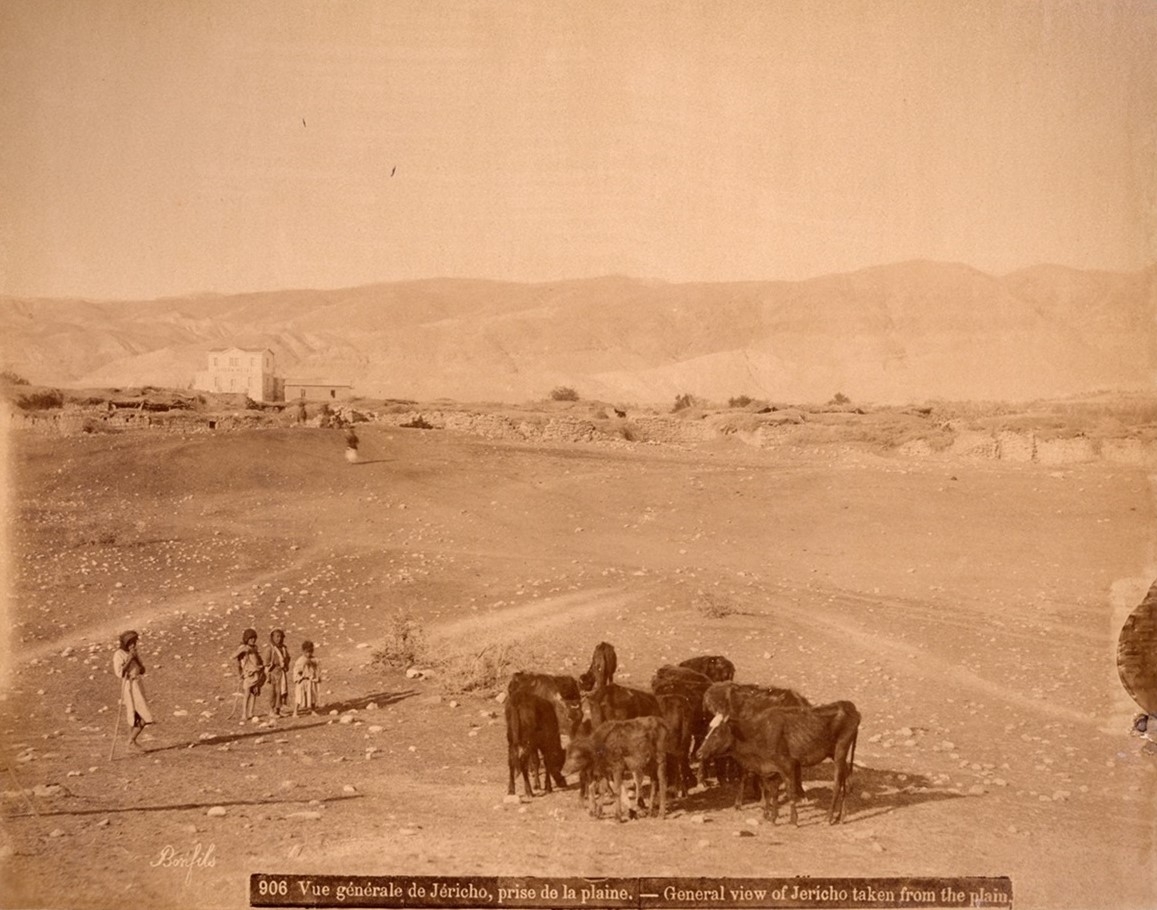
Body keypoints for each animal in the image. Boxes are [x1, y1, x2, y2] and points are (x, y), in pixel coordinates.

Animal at [694, 703, 860, 827]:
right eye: (708, 730)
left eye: (717, 733)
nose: (699, 753)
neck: (758, 732)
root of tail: (850, 708)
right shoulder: (768, 769)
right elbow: (771, 793)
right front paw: (771, 817)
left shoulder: (788, 766)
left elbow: (790, 792)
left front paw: (793, 820)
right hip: (836, 754)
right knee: (847, 781)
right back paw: (841, 816)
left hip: (840, 751)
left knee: (837, 784)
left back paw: (828, 818)